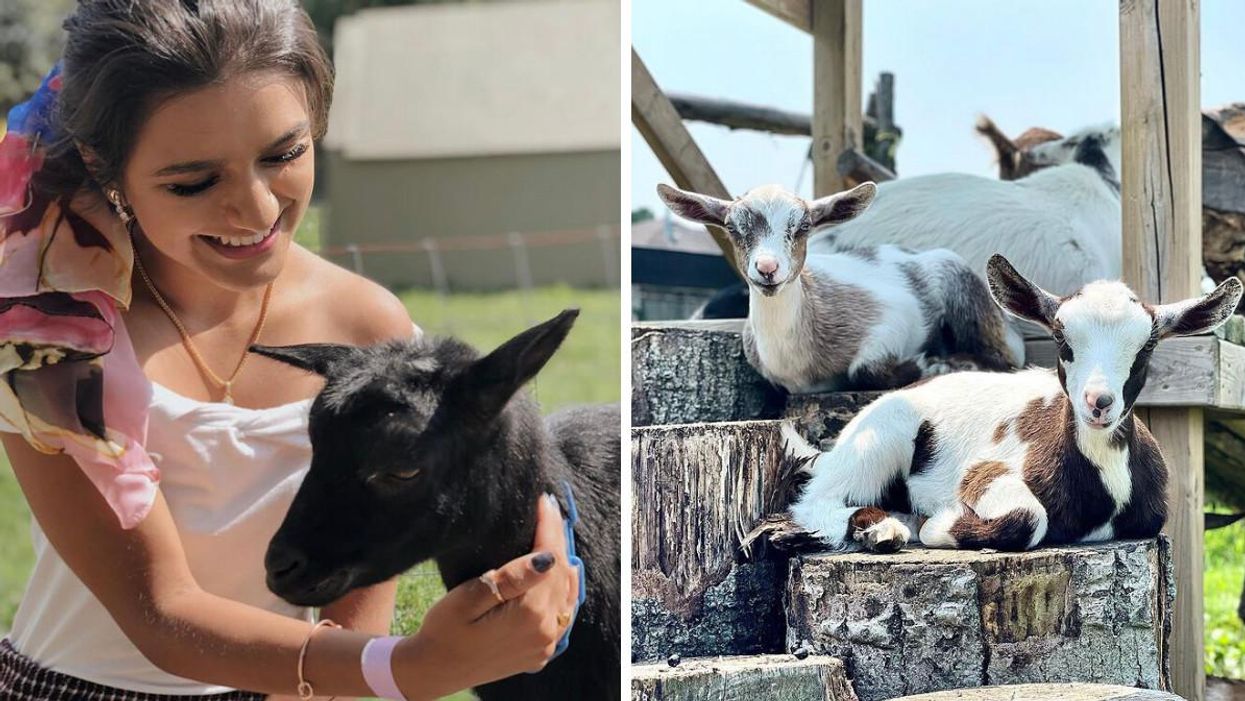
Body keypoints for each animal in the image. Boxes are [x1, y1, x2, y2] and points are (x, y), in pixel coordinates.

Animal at [658, 182, 1023, 394]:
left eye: (804, 226)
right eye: (733, 228)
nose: (767, 269)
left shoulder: (893, 318)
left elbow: (865, 370)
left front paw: (928, 365)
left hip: (964, 291)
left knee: (1009, 355)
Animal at [790, 254, 1242, 553]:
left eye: (1147, 346)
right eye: (1061, 338)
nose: (1099, 403)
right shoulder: (982, 473)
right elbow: (1029, 518)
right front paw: (937, 523)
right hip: (877, 441)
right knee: (815, 502)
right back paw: (883, 530)